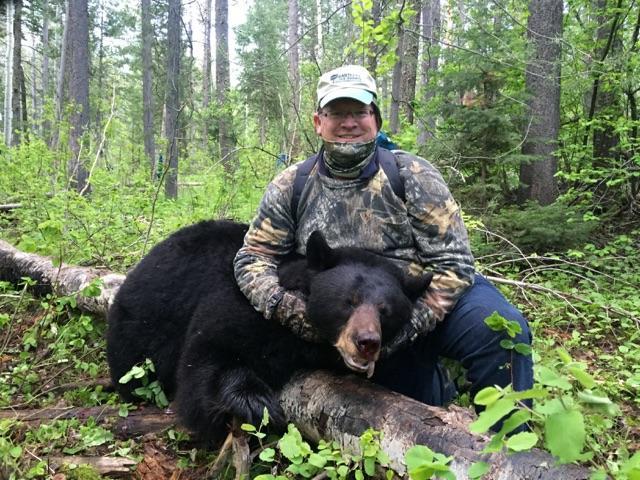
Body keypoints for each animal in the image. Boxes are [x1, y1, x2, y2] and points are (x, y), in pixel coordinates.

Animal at [107, 219, 432, 444]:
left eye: (385, 311)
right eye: (348, 301)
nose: (366, 342)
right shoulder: (250, 306)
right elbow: (208, 353)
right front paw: (255, 402)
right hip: (141, 322)